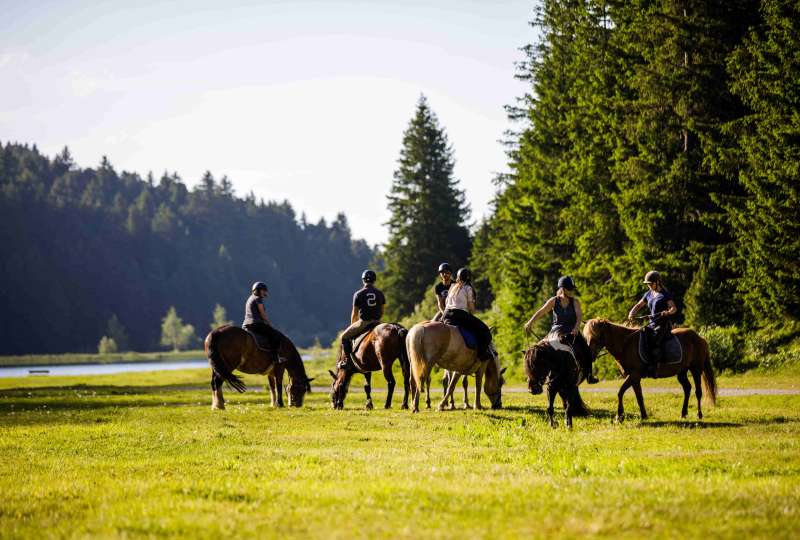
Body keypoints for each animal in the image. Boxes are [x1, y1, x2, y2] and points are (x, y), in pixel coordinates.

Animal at [580, 316, 720, 422]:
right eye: (585, 337)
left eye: (596, 336)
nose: (589, 356)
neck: (626, 344)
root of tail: (700, 338)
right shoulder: (634, 378)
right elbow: (637, 396)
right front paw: (642, 415)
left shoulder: (634, 375)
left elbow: (622, 392)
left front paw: (619, 415)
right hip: (682, 372)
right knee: (687, 388)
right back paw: (683, 413)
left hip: (696, 369)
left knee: (698, 391)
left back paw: (699, 414)